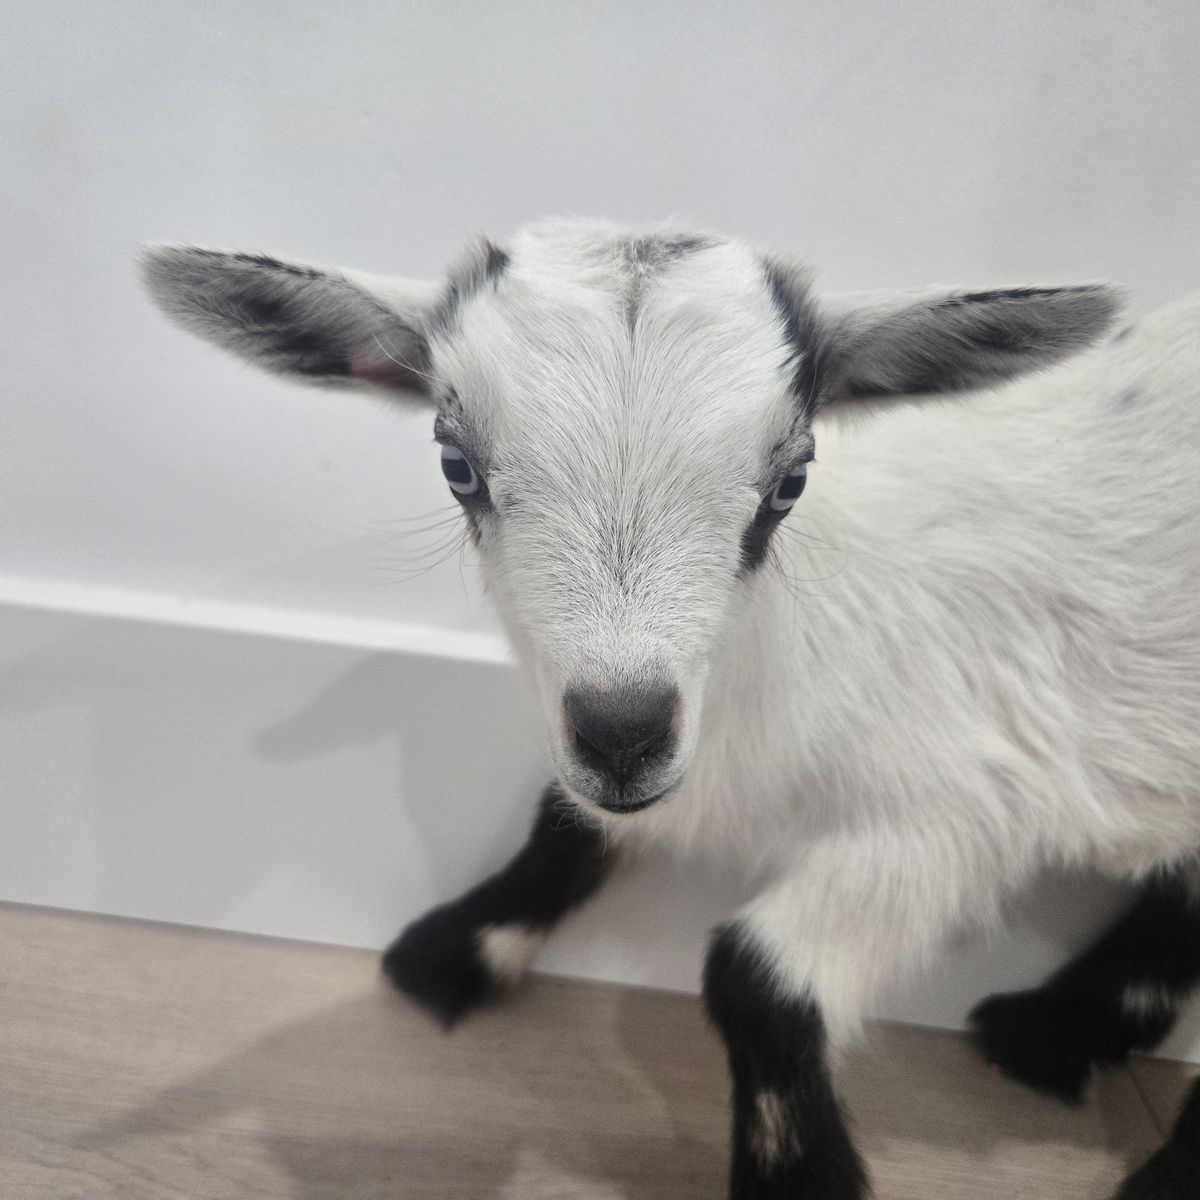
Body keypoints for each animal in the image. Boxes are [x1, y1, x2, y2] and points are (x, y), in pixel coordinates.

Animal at [143, 219, 1200, 1200]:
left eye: (791, 478)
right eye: (456, 463)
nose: (625, 737)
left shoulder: (960, 804)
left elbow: (758, 976)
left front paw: (798, 1177)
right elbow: (564, 820)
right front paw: (449, 953)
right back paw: (1047, 1036)